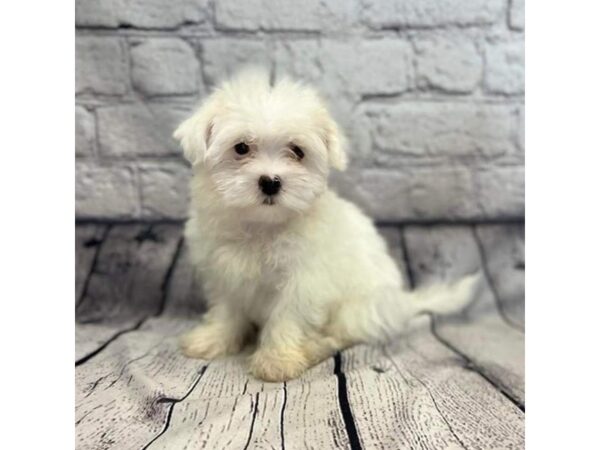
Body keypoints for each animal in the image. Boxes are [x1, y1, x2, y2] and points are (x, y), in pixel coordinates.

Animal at [173, 68, 478, 382]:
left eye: (297, 151)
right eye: (242, 148)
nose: (270, 182)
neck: (262, 225)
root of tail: (402, 303)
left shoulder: (304, 280)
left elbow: (287, 317)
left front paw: (277, 359)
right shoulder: (223, 271)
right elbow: (226, 310)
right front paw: (213, 339)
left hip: (359, 307)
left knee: (343, 334)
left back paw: (315, 347)